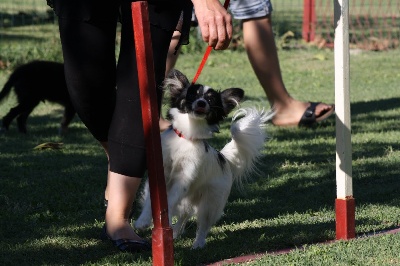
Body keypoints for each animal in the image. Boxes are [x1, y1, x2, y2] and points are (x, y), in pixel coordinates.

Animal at [134, 69, 272, 248]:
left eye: (210, 100)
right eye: (192, 95)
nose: (201, 103)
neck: (186, 136)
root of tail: (224, 159)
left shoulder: (183, 178)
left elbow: (170, 202)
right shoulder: (160, 173)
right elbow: (151, 201)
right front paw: (143, 221)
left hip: (210, 203)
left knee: (203, 225)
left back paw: (198, 243)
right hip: (188, 201)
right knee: (184, 217)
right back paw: (174, 233)